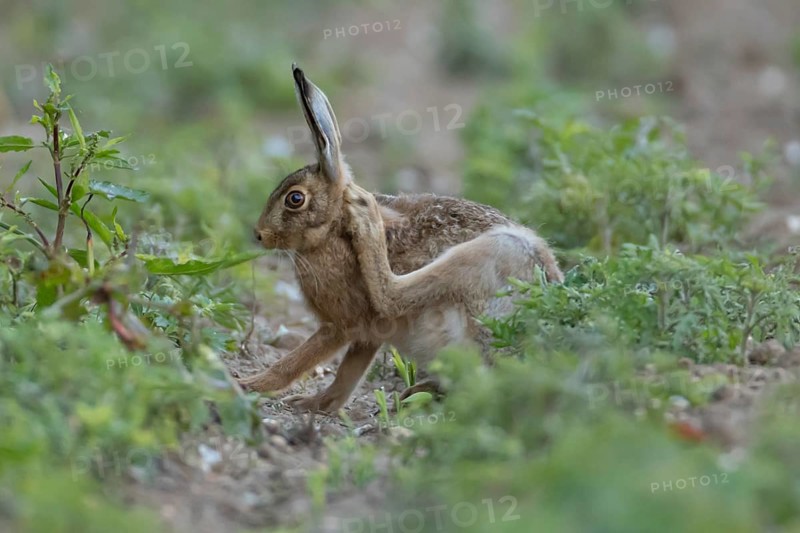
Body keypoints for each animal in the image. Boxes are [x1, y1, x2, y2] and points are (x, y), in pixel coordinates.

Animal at [237, 64, 563, 413]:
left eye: (295, 199)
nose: (259, 235)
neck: (332, 227)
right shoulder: (367, 336)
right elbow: (347, 376)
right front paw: (313, 404)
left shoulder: (343, 325)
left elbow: (299, 360)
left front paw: (250, 384)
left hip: (494, 252)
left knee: (392, 294)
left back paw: (365, 215)